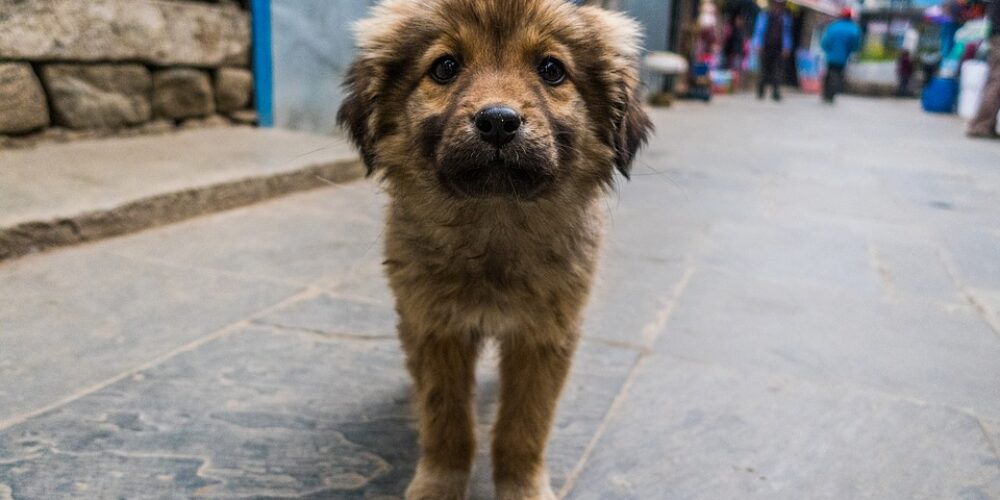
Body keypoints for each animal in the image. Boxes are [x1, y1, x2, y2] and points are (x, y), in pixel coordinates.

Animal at [336, 1, 648, 498]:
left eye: (551, 70)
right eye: (445, 67)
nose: (498, 121)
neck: (494, 224)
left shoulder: (545, 335)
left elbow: (523, 428)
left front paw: (523, 488)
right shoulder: (435, 326)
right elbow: (446, 421)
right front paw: (438, 485)